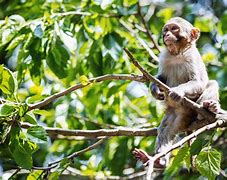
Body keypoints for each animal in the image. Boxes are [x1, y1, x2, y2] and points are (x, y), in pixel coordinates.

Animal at [133, 16, 220, 169]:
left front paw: (178, 91)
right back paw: (159, 161)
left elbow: (198, 82)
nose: (167, 34)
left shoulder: (192, 57)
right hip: (177, 116)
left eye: (174, 29)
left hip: (194, 110)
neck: (177, 53)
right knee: (166, 129)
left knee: (212, 84)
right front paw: (154, 88)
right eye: (166, 29)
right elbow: (161, 77)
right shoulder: (164, 56)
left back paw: (209, 108)